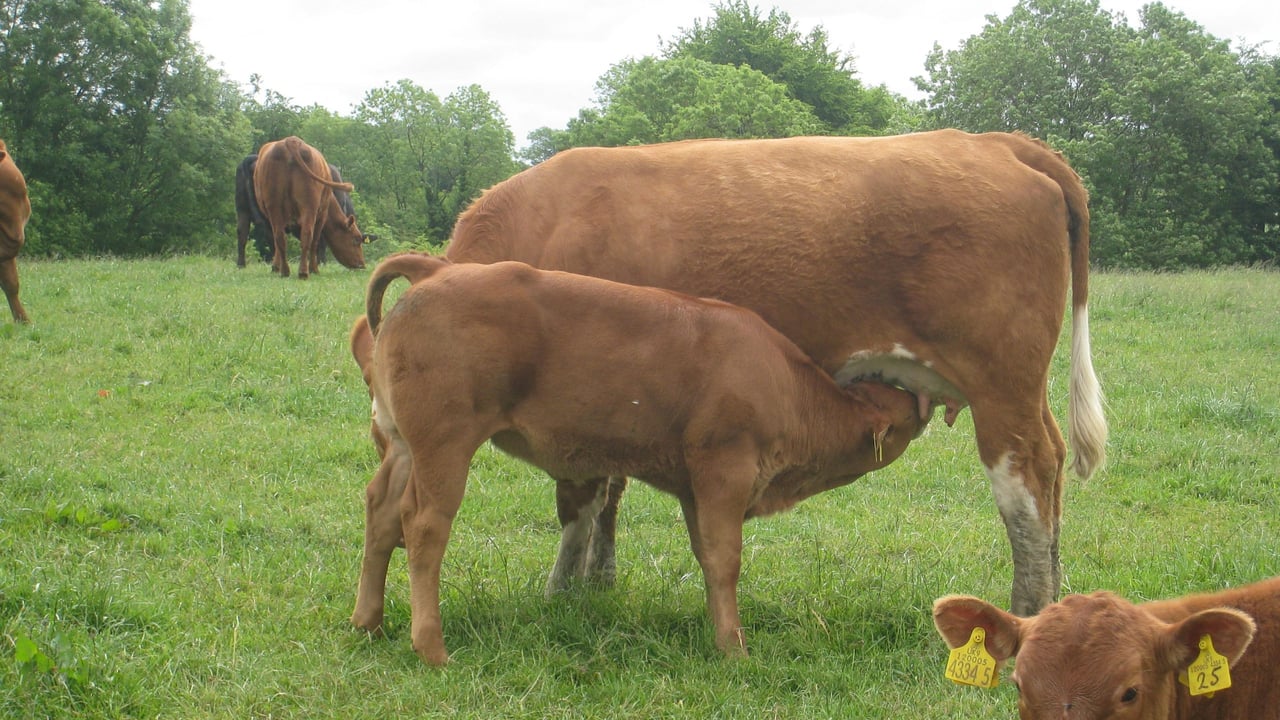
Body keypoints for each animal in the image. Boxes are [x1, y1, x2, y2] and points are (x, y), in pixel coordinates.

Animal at [251, 136, 368, 278]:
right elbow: (316, 241)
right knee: (308, 236)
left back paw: (286, 271)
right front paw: (314, 268)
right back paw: (305, 271)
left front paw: (276, 266)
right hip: (310, 206)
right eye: (356, 239)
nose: (362, 265)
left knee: (281, 237)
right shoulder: (322, 214)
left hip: (276, 206)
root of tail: (292, 140)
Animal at [355, 252, 927, 665]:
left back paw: (369, 623)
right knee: (423, 526)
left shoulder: (695, 487)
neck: (785, 383)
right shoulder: (725, 468)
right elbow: (726, 559)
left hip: (402, 445)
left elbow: (707, 557)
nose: (925, 401)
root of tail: (438, 269)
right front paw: (735, 650)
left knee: (380, 513)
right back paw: (431, 647)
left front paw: (718, 632)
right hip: (444, 445)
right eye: (903, 418)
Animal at [445, 129, 1108, 617]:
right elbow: (610, 488)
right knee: (1052, 467)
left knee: (1027, 478)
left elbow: (579, 501)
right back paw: (1054, 599)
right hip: (1024, 388)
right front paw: (597, 585)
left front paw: (559, 594)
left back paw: (1026, 610)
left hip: (1001, 383)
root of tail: (996, 141)